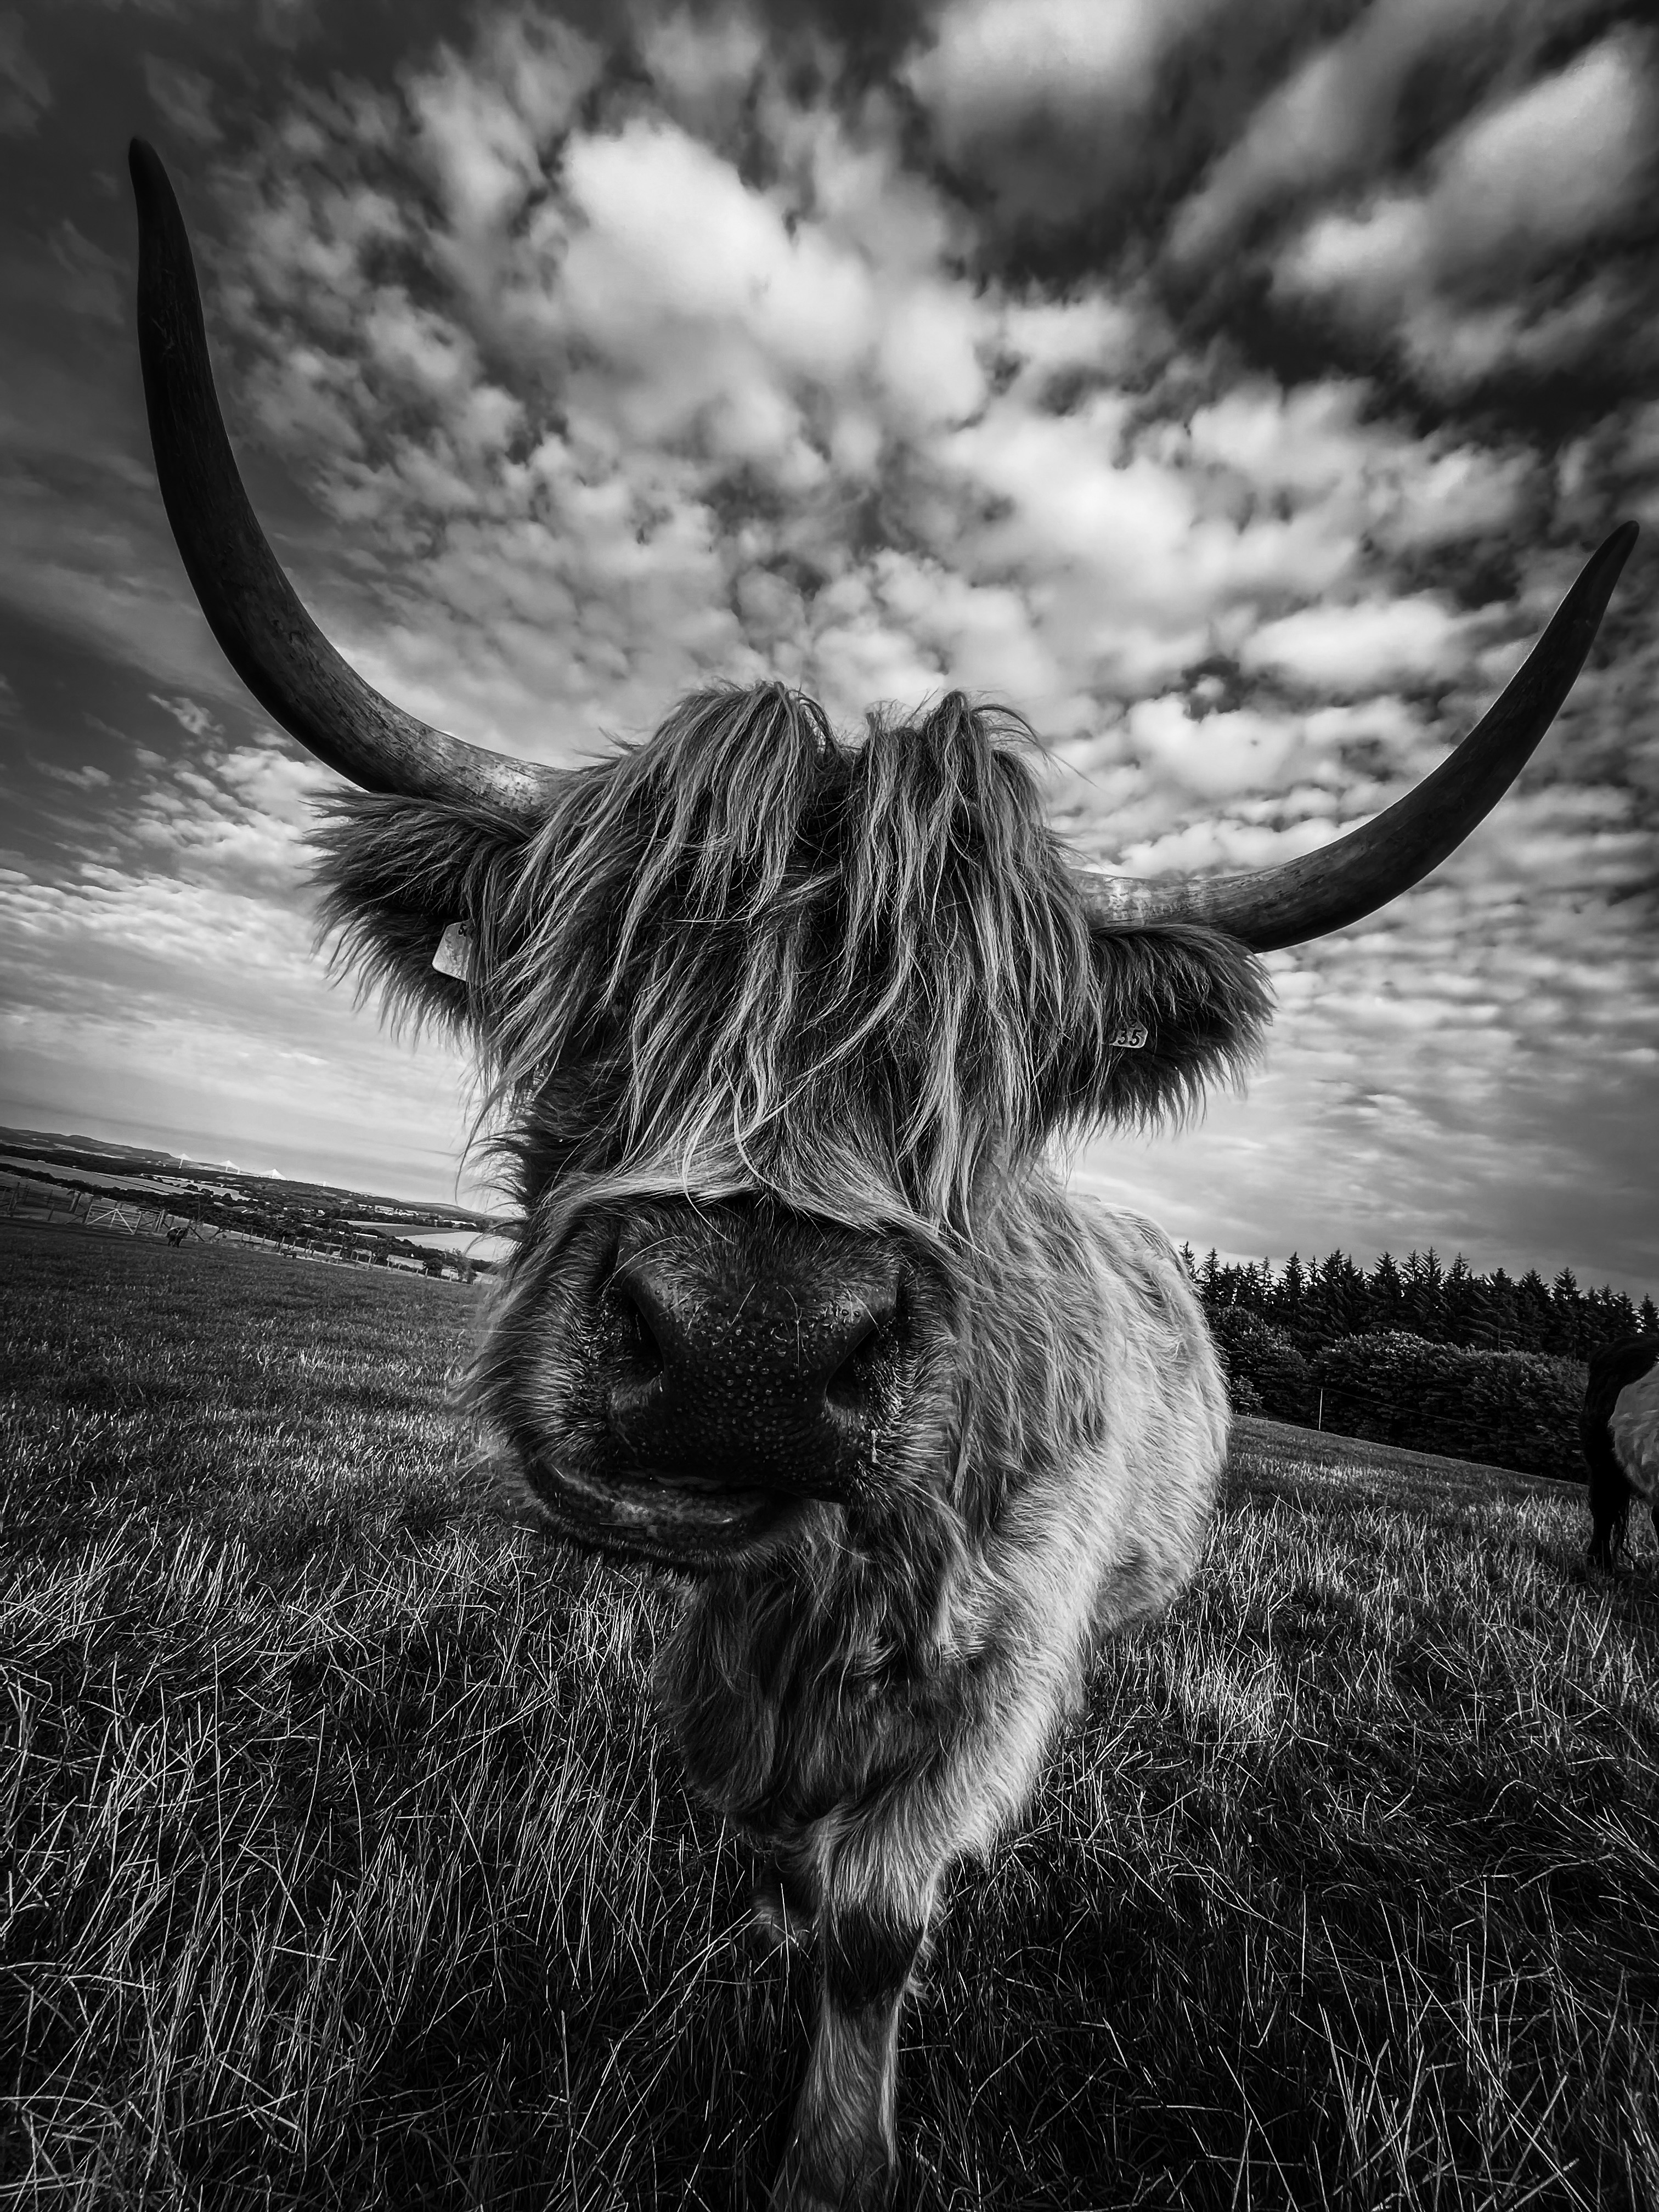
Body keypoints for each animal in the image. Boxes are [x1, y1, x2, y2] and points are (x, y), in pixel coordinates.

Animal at [127, 138, 1636, 2210]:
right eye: (606, 981)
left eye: (992, 1068)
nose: (746, 1344)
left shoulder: (1002, 1662)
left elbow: (873, 1912)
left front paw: (835, 2155)